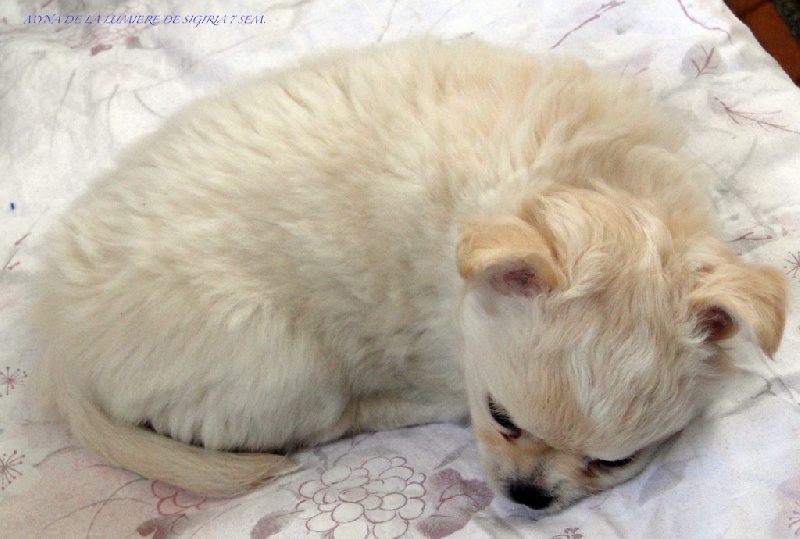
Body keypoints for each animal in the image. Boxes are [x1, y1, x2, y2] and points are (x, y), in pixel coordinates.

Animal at [30, 38, 787, 513]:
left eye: (614, 461)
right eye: (501, 418)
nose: (528, 496)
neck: (589, 178)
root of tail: (59, 345)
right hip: (281, 367)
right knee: (315, 422)